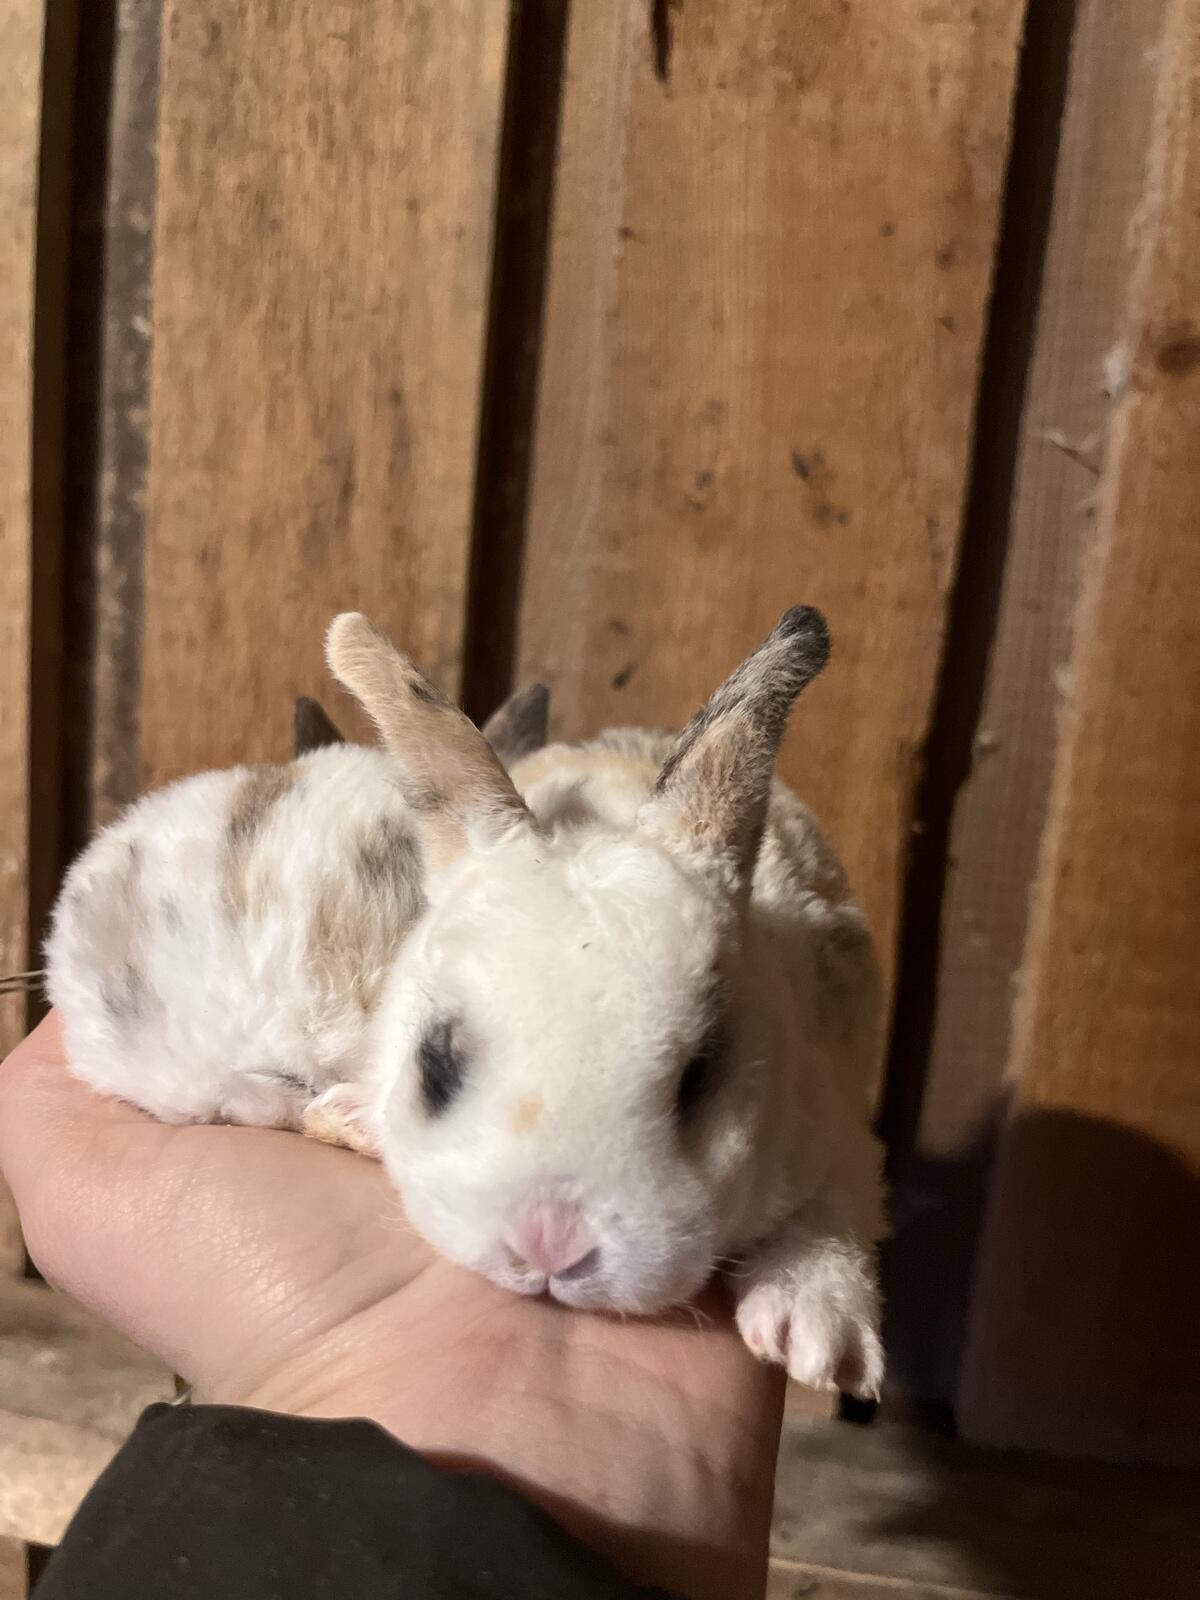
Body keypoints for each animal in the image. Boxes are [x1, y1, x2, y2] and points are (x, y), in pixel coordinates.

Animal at [46, 607, 886, 1397]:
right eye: (437, 1065)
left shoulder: (837, 1121)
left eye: (700, 1076)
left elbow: (835, 1209)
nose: (552, 1242)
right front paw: (352, 1116)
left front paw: (815, 1336)